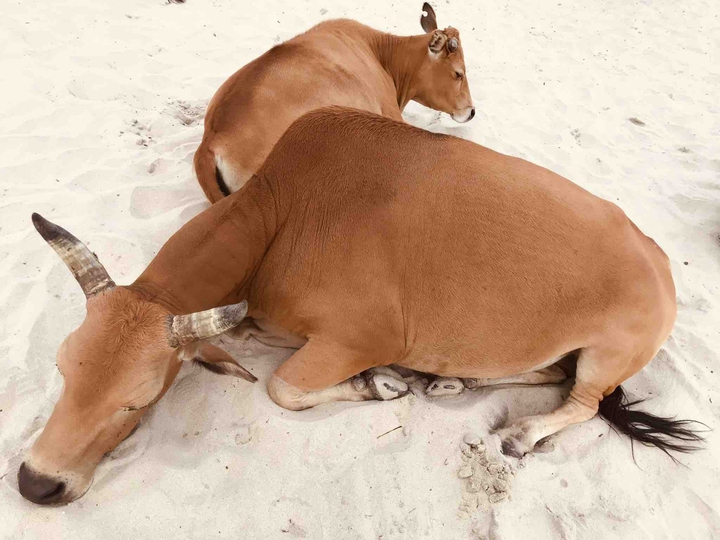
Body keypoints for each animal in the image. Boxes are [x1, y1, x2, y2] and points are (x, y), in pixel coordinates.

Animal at [19, 107, 702, 505]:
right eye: (62, 371)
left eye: (134, 401)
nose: (35, 482)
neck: (281, 214)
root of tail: (661, 262)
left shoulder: (360, 340)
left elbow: (283, 388)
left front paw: (380, 385)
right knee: (547, 370)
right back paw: (453, 381)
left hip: (607, 355)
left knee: (581, 402)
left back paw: (518, 430)